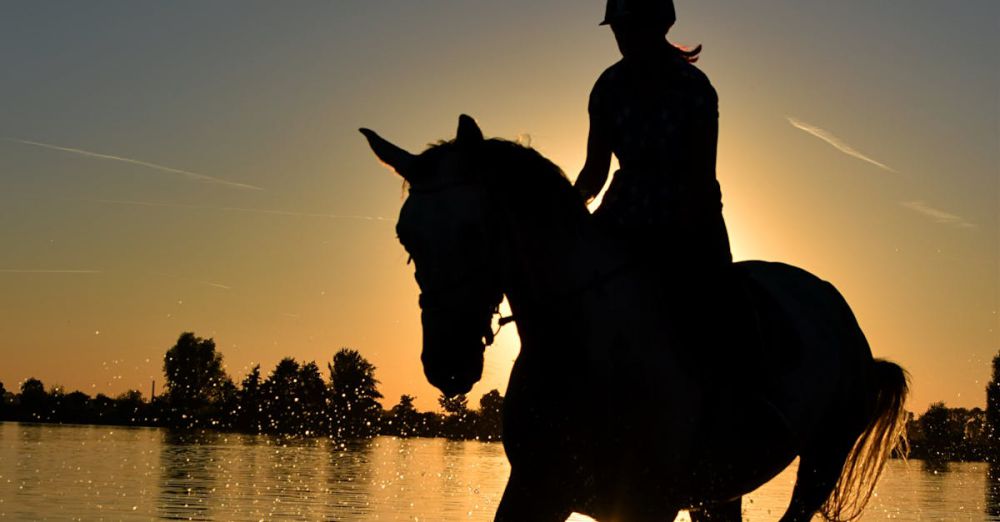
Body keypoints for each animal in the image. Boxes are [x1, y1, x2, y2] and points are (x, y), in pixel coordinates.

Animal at [360, 115, 908, 520]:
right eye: (406, 236)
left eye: (476, 230)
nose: (447, 364)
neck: (587, 349)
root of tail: (840, 313)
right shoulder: (536, 489)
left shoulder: (648, 502)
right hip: (721, 488)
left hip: (821, 462)